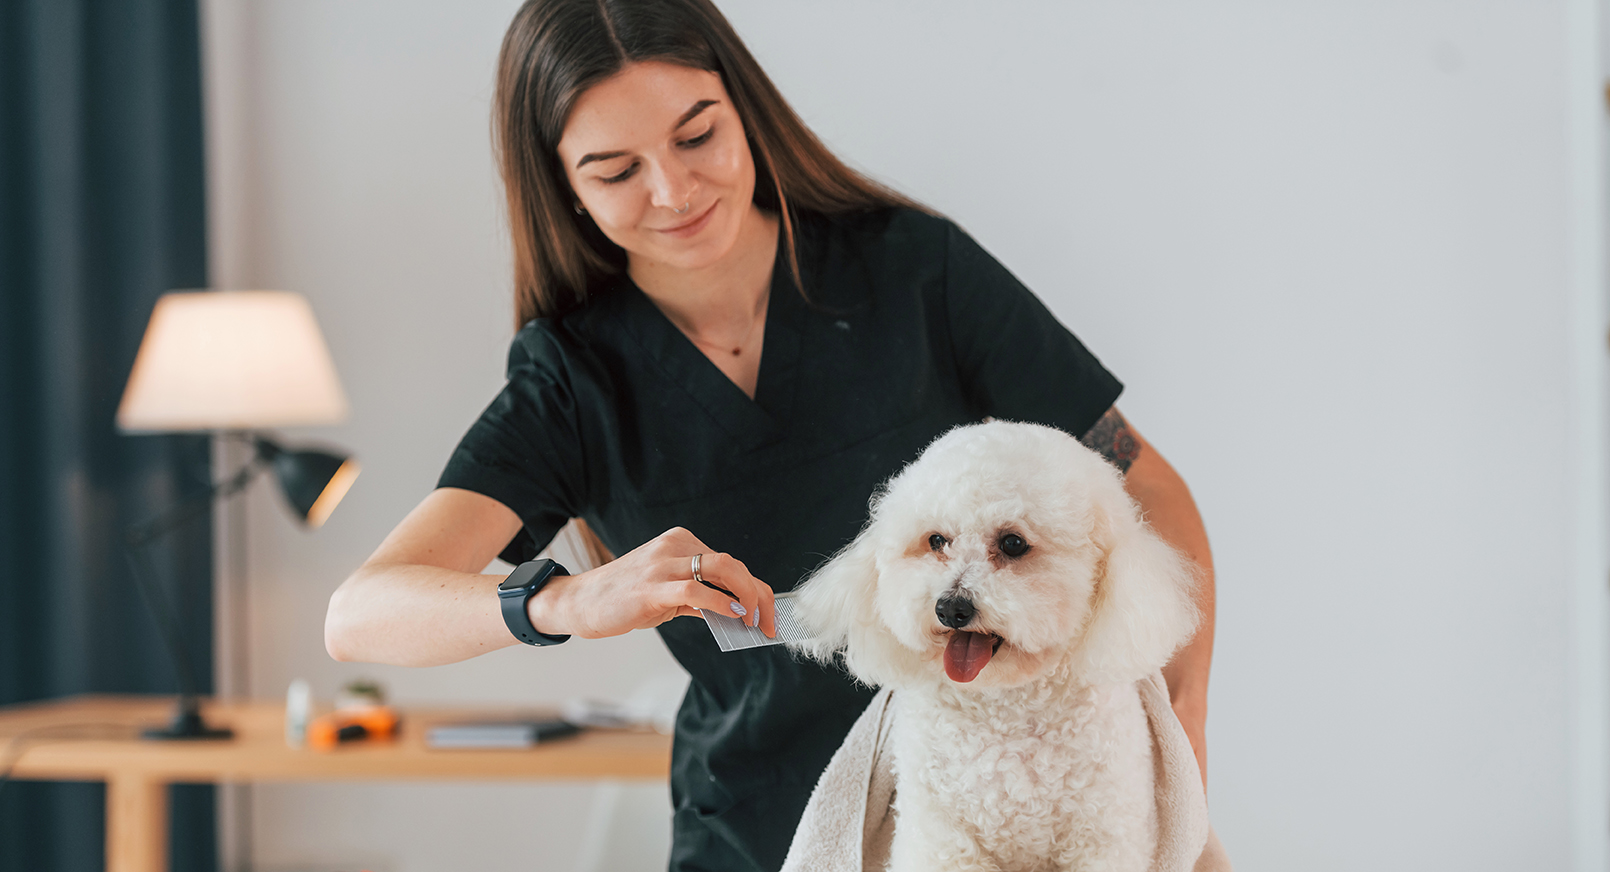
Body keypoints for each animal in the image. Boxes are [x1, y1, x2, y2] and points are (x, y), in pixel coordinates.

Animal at [785, 421, 1204, 868]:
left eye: (1013, 543)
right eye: (937, 540)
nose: (951, 608)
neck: (1004, 712)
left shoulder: (1105, 832)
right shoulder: (938, 834)